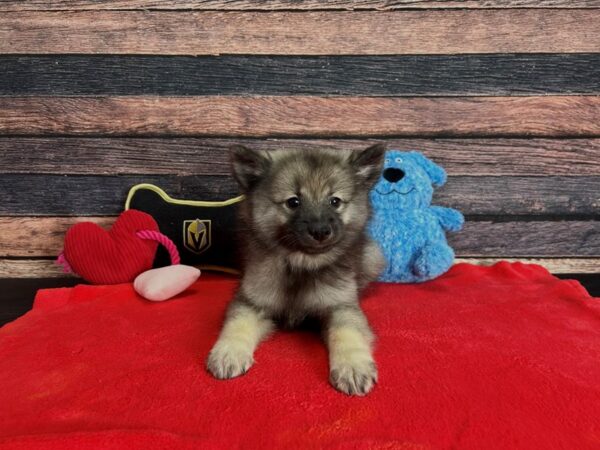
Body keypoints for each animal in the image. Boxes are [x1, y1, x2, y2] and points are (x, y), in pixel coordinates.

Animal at [206, 145, 384, 398]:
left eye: (335, 201)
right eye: (293, 202)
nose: (320, 231)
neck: (301, 264)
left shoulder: (340, 307)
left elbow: (348, 333)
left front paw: (353, 367)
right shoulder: (252, 302)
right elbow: (237, 324)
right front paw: (228, 352)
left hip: (373, 257)